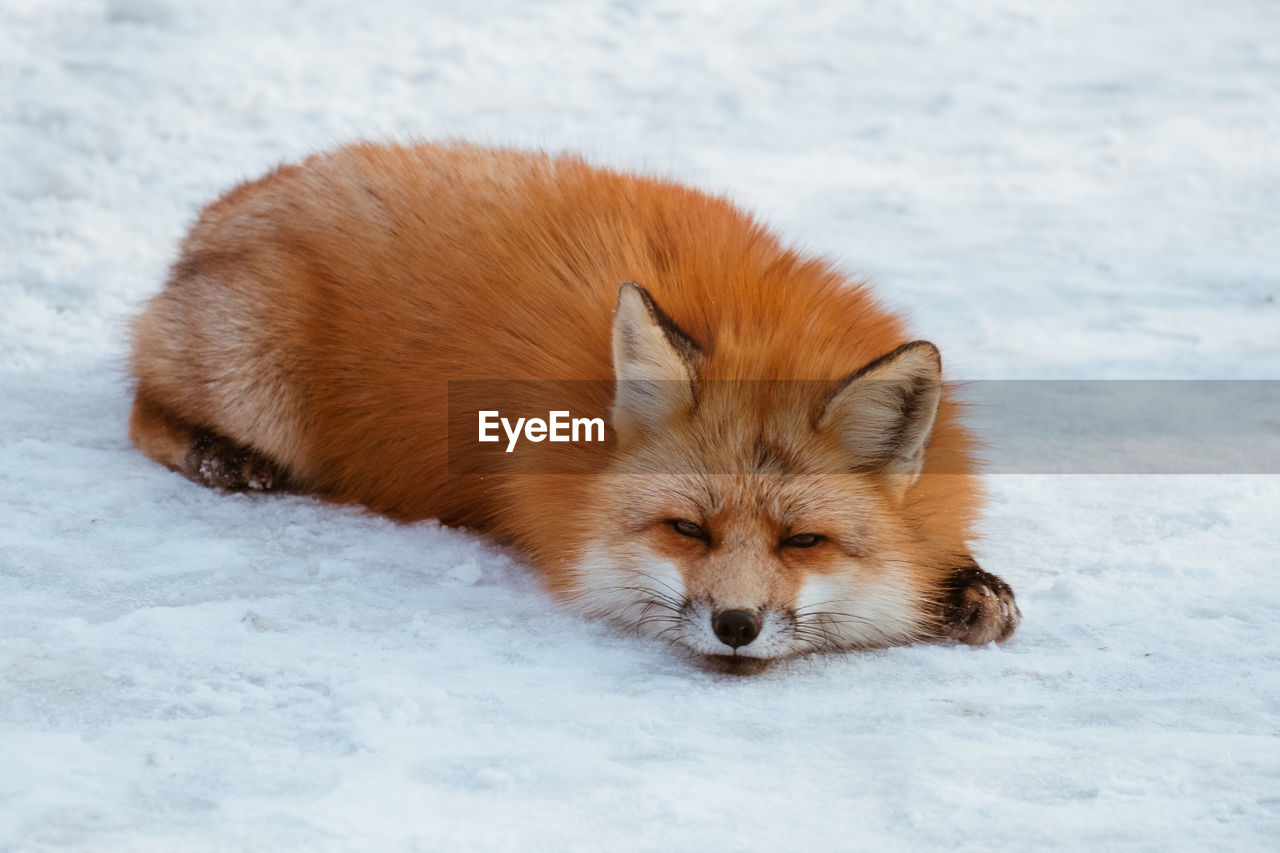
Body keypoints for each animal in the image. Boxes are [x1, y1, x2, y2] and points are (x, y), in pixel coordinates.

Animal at [129, 140, 1018, 666]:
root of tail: (220, 210)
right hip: (261, 388)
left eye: (804, 541)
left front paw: (966, 584)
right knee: (142, 408)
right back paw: (219, 456)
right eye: (686, 529)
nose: (735, 625)